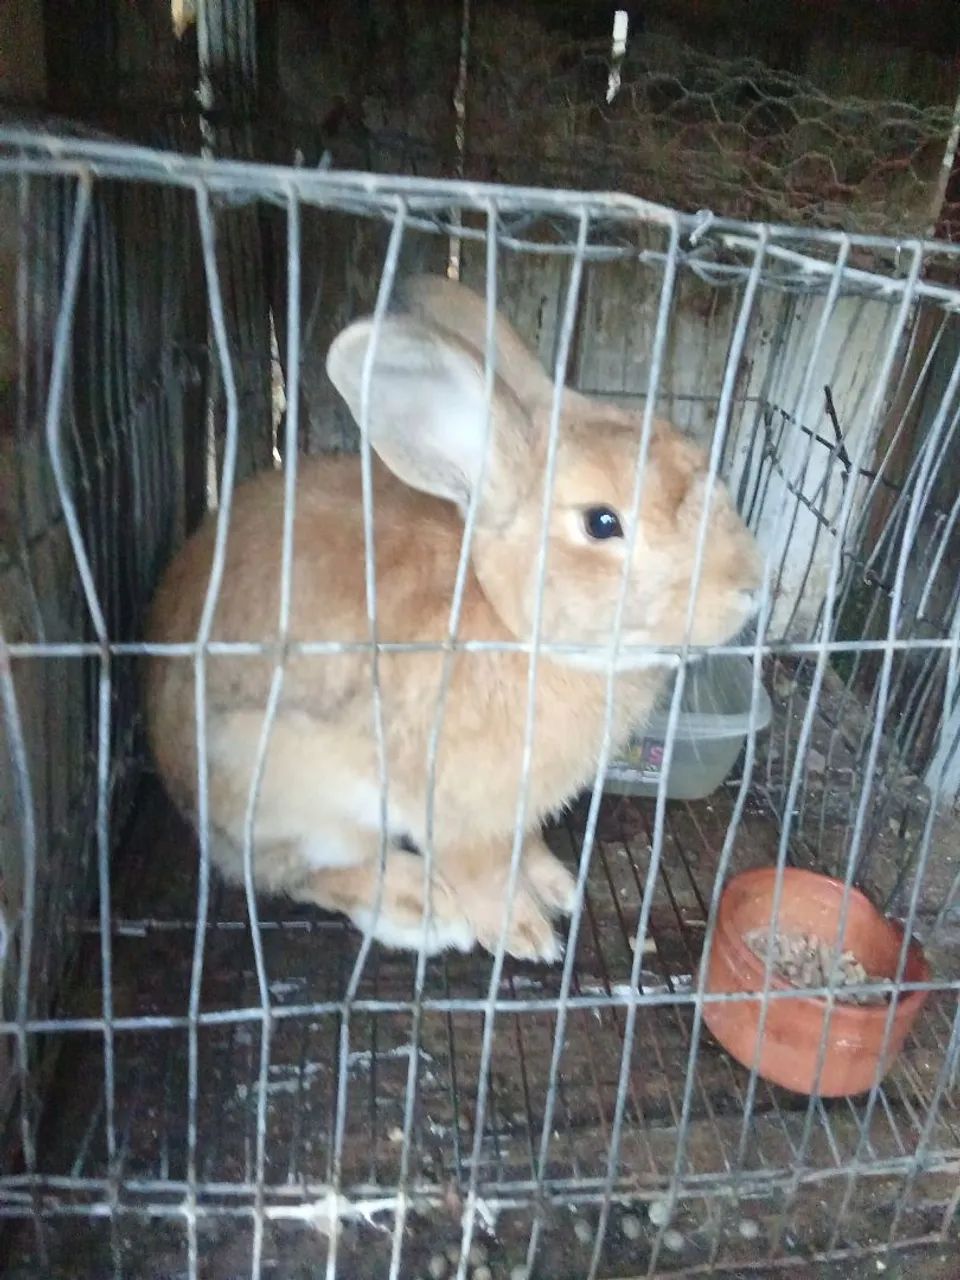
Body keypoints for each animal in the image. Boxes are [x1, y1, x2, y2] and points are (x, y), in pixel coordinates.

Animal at [145, 273, 763, 962]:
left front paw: (557, 887)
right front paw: (525, 933)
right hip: (288, 789)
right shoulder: (458, 815)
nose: (750, 586)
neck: (518, 629)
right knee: (300, 873)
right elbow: (482, 874)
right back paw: (425, 910)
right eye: (603, 523)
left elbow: (524, 849)